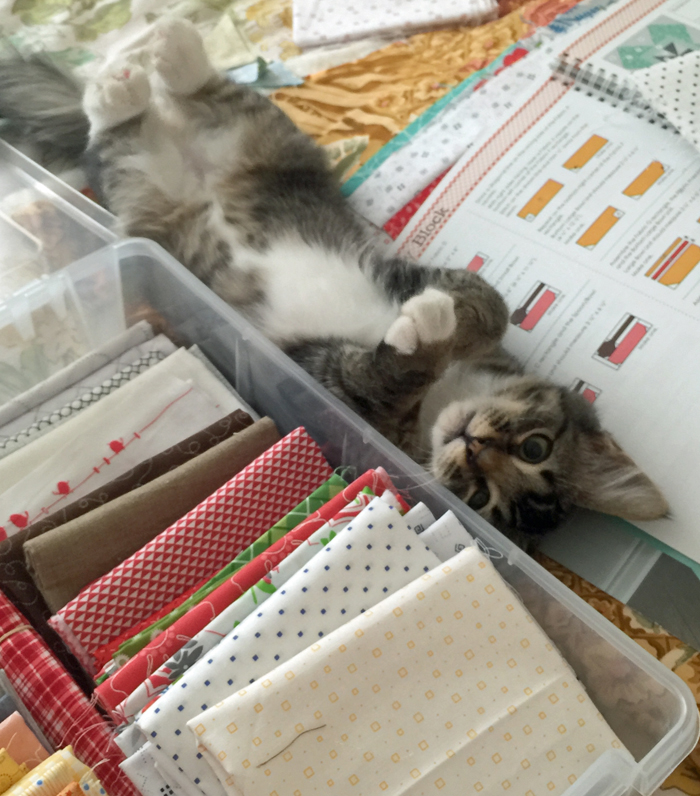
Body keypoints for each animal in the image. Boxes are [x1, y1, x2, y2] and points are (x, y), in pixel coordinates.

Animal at [0, 21, 668, 544]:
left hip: (152, 196)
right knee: (201, 100)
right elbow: (490, 303)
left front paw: (423, 333)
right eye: (535, 447)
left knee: (124, 140)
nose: (474, 446)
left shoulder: (337, 386)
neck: (445, 398)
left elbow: (382, 370)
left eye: (481, 502)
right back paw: (160, 54)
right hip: (271, 145)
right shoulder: (421, 279)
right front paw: (447, 319)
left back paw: (136, 77)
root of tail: (194, 171)